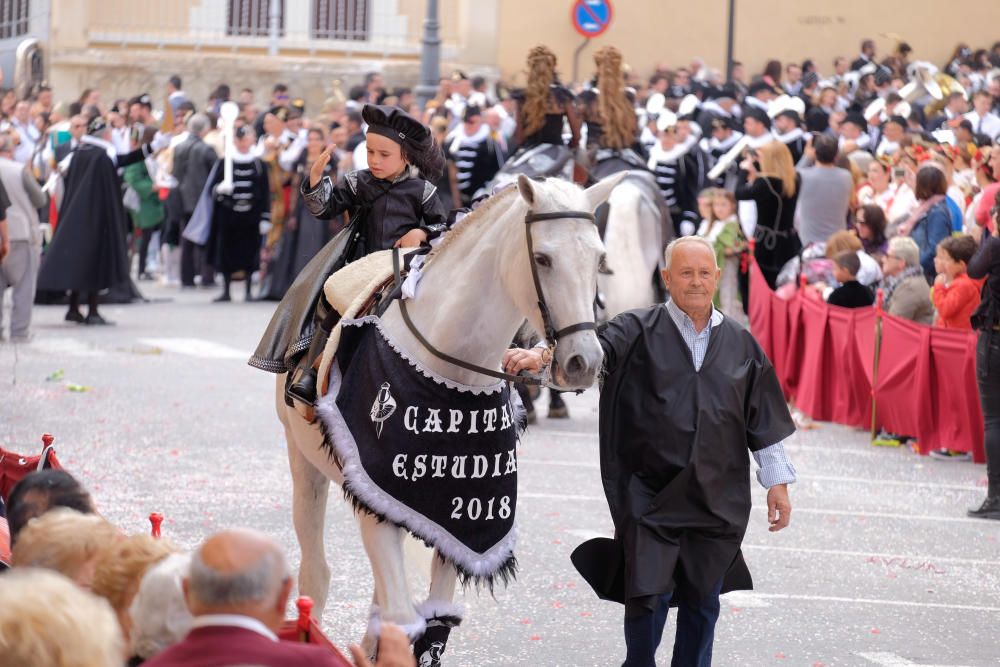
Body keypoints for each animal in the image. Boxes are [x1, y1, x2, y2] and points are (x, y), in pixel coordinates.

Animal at [274, 175, 616, 660]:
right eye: (543, 259)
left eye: (599, 260)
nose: (583, 362)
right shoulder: (374, 495)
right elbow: (400, 616)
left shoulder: (451, 517)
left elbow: (433, 621)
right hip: (305, 466)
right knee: (316, 573)